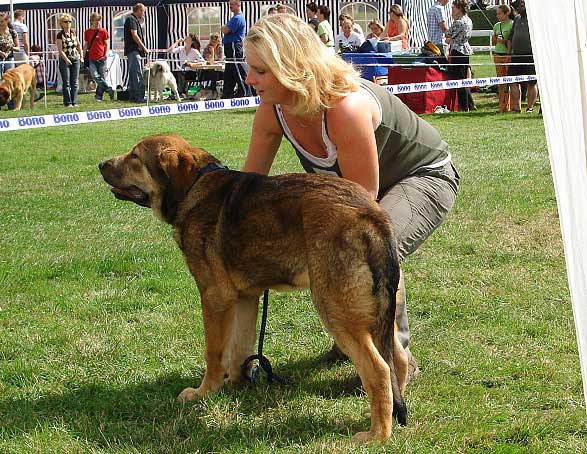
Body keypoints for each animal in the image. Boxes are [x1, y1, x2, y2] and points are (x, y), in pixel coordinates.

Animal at [99, 133, 408, 442]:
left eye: (135, 157)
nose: (101, 164)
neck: (194, 186)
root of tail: (371, 214)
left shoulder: (214, 298)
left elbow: (214, 353)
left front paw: (204, 392)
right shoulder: (246, 298)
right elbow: (240, 347)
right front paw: (238, 384)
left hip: (337, 311)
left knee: (380, 370)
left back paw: (377, 435)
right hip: (380, 314)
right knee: (399, 359)